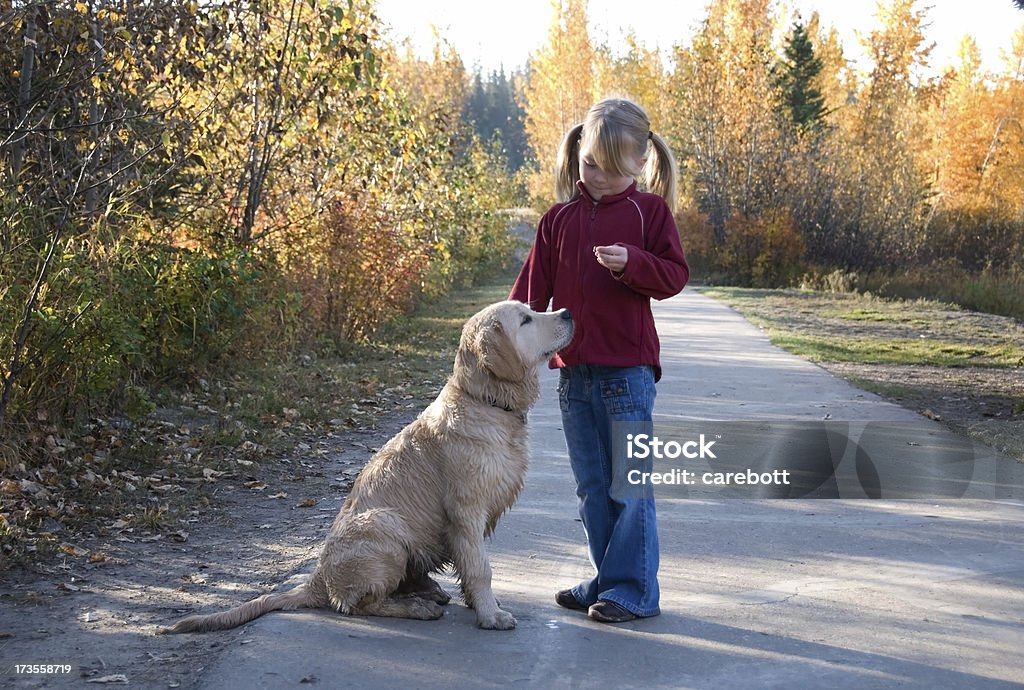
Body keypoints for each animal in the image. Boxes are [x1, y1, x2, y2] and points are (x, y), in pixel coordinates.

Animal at [163, 298, 573, 630]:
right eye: (526, 319)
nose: (568, 312)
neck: (486, 401)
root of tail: (319, 579)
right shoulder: (466, 513)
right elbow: (480, 569)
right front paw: (490, 615)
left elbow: (471, 569)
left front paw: (480, 606)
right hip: (385, 526)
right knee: (359, 604)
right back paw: (417, 607)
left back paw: (427, 592)